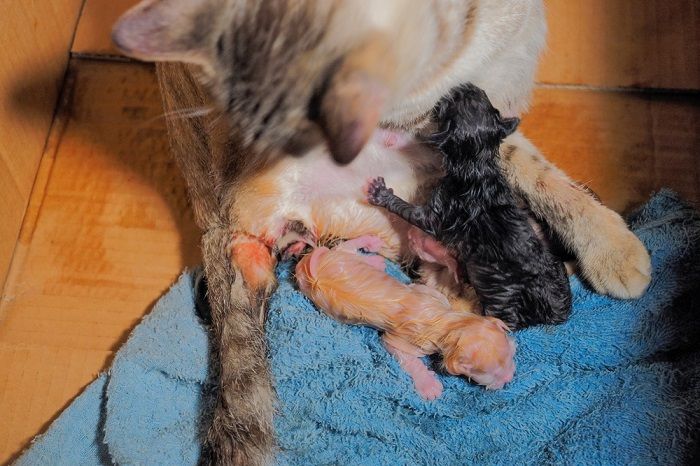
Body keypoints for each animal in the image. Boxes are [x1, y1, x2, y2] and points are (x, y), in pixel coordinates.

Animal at [292, 237, 516, 400]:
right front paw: (429, 386)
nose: (510, 377)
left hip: (340, 259)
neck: (447, 322)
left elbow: (422, 288)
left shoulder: (432, 296)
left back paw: (374, 257)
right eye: (483, 373)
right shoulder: (406, 339)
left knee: (347, 249)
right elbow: (400, 352)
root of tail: (306, 265)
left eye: (511, 355)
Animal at [370, 84, 572, 332]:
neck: (477, 165)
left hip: (501, 300)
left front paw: (382, 195)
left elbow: (411, 212)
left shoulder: (440, 208)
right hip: (556, 266)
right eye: (484, 99)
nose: (463, 85)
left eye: (451, 104)